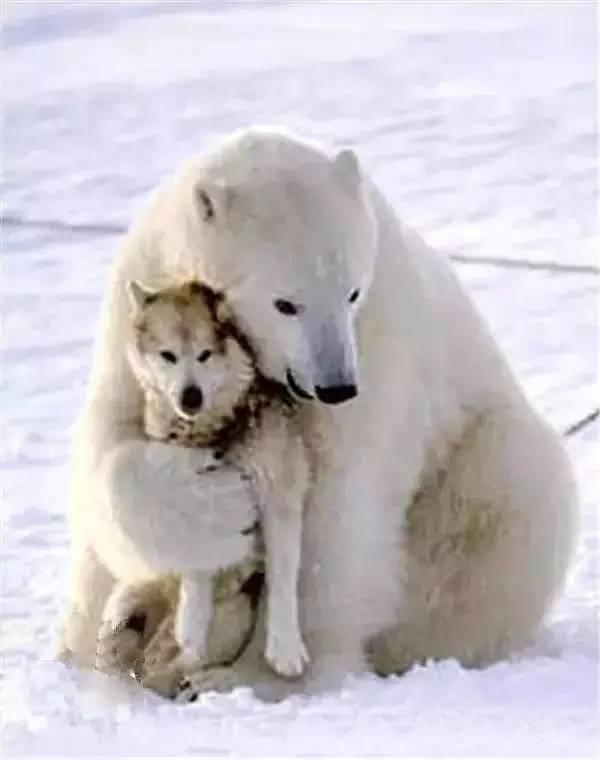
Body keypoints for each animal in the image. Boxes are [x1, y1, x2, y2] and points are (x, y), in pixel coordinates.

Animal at [56, 126, 577, 700]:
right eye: (285, 302)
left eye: (351, 291)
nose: (336, 386)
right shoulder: (139, 301)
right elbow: (110, 442)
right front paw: (214, 508)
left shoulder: (377, 345)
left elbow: (333, 507)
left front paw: (263, 675)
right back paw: (102, 637)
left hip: (476, 467)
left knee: (505, 505)